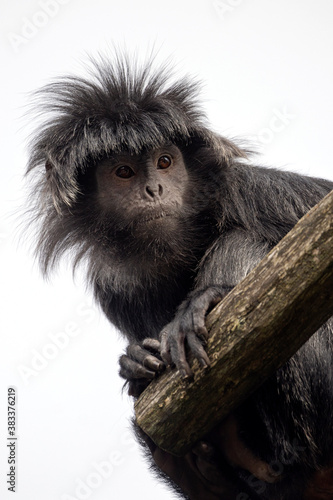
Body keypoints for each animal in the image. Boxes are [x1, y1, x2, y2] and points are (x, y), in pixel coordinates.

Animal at [25, 52, 332, 498]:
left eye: (165, 162)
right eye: (124, 172)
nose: (154, 189)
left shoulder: (252, 191)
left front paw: (205, 299)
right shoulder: (114, 284)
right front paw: (135, 360)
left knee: (241, 241)